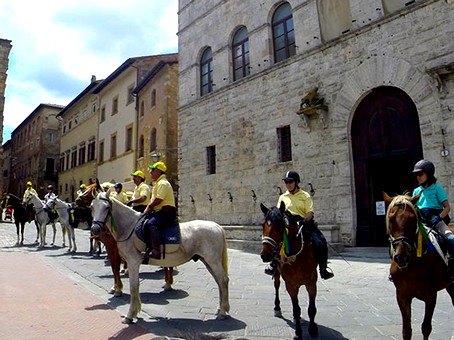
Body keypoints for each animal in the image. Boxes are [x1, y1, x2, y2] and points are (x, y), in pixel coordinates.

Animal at [89, 190, 231, 322]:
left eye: (107, 207)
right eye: (92, 207)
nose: (95, 229)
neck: (129, 227)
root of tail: (217, 226)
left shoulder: (133, 262)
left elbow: (133, 287)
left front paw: (130, 316)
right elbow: (135, 286)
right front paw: (136, 312)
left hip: (213, 261)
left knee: (223, 280)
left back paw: (223, 312)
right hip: (207, 261)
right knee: (219, 282)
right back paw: (220, 309)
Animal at [258, 202, 320, 340]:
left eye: (280, 225)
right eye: (263, 224)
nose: (265, 255)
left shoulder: (311, 283)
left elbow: (311, 308)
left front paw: (313, 329)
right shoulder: (290, 285)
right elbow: (296, 309)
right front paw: (298, 333)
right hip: (277, 273)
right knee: (276, 285)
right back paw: (277, 308)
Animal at [384, 193, 454, 338]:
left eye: (412, 220)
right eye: (391, 219)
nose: (401, 257)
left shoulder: (431, 296)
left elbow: (426, 328)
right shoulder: (402, 296)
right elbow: (406, 331)